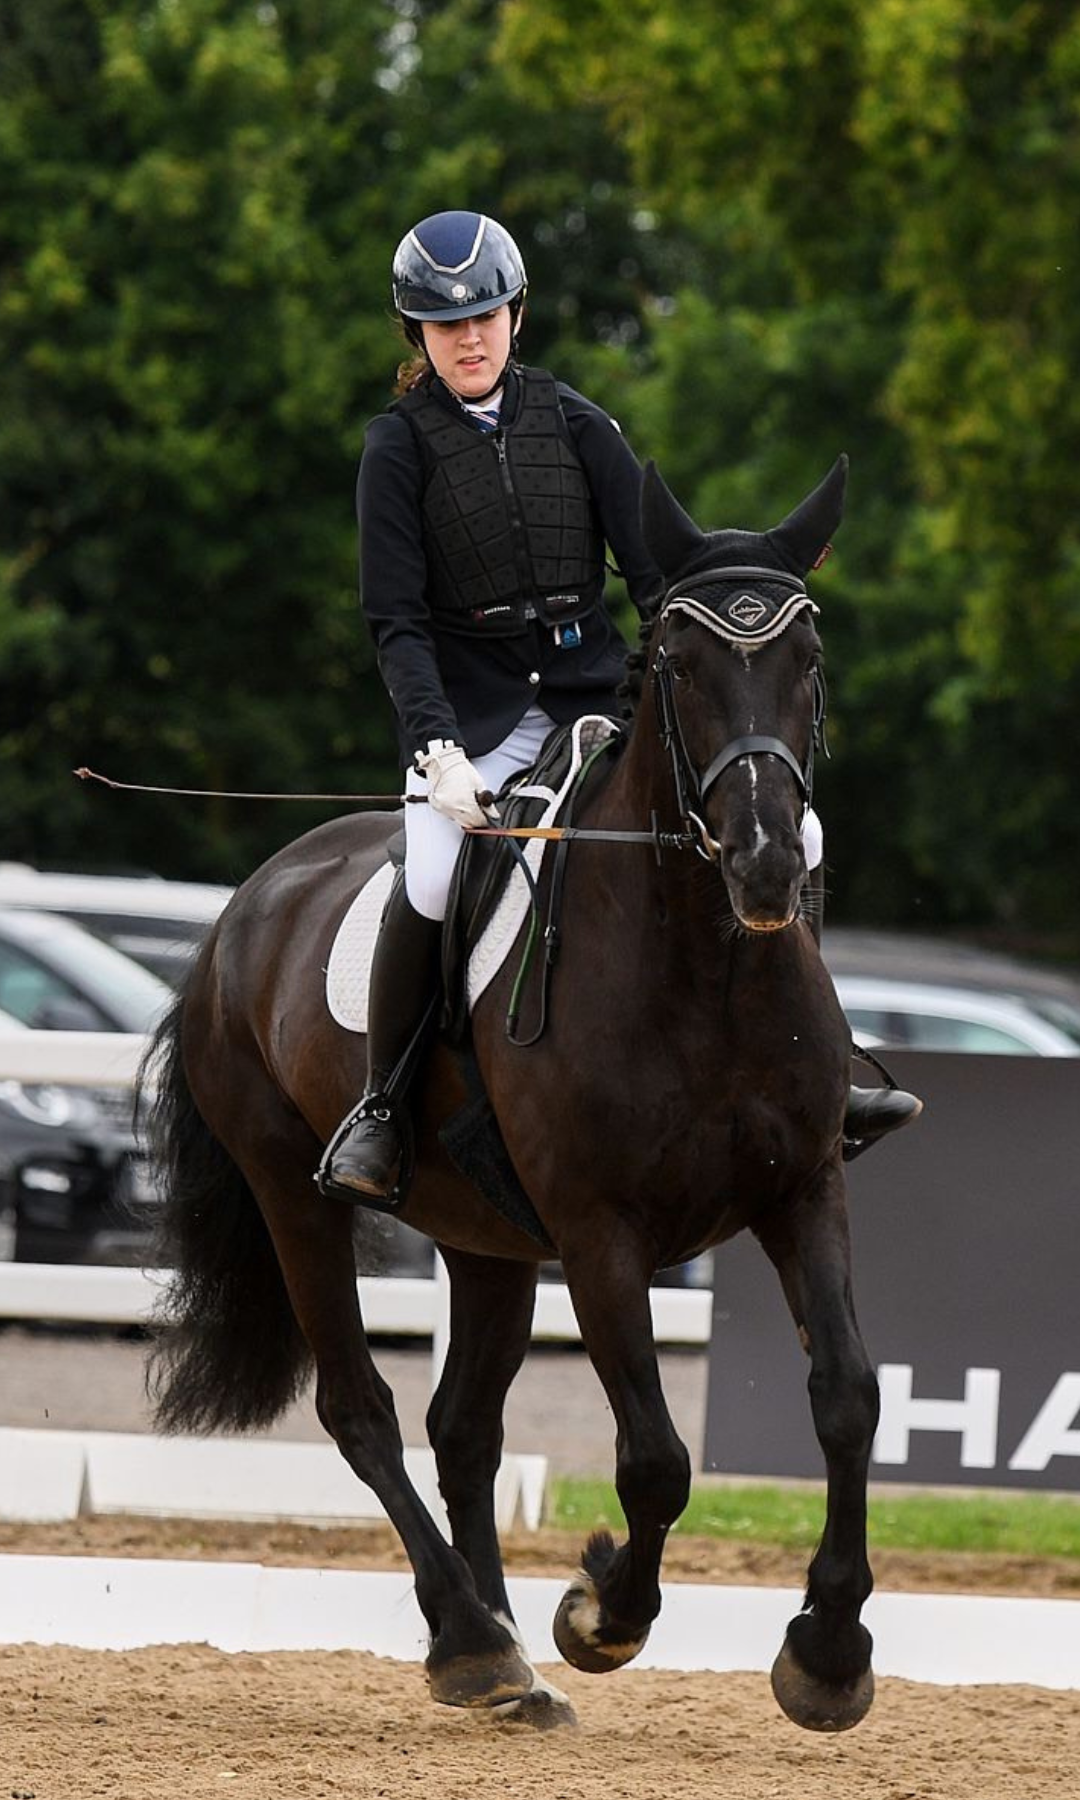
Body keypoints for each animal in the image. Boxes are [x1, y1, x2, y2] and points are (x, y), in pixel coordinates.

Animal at [147, 457, 882, 1735]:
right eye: (680, 664)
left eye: (808, 660)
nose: (765, 864)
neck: (707, 968)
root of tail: (250, 901)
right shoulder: (599, 1233)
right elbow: (655, 1456)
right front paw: (603, 1615)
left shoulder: (803, 1193)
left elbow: (844, 1398)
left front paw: (830, 1652)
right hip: (295, 1197)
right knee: (363, 1411)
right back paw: (474, 1641)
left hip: (483, 1237)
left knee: (463, 1429)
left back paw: (506, 1665)